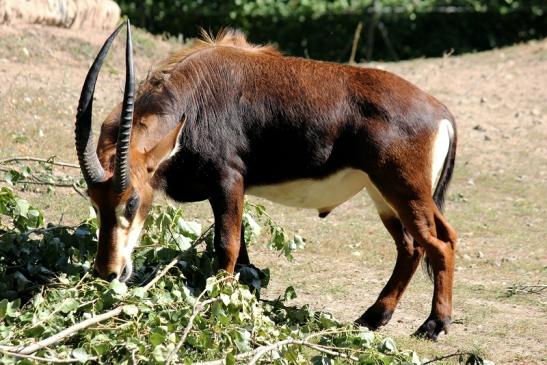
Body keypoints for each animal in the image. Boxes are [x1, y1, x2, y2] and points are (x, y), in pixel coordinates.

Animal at [77, 19, 458, 338]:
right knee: (414, 246)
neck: (194, 99)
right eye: (95, 203)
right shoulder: (224, 191)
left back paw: (434, 324)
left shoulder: (229, 180)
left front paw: (217, 305)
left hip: (403, 190)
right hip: (387, 194)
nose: (108, 272)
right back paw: (374, 317)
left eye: (132, 202)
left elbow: (227, 245)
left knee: (439, 244)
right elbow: (243, 253)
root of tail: (441, 112)